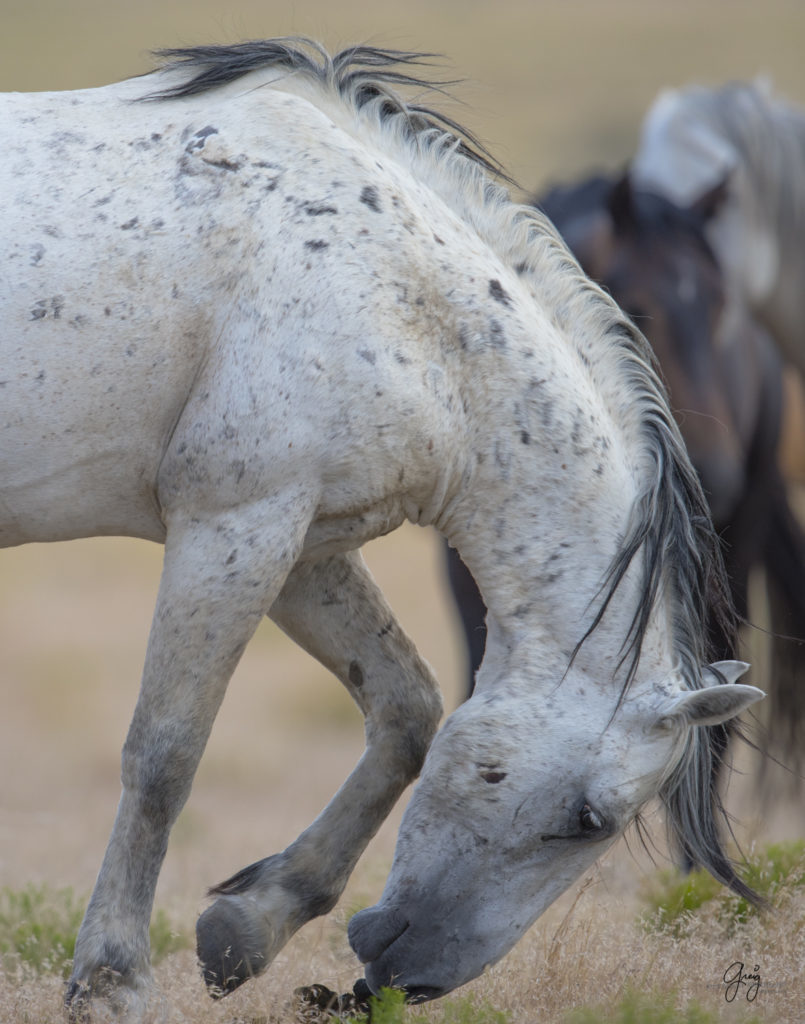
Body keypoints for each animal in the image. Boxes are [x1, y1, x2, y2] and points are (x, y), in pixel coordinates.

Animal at [0, 39, 761, 1015]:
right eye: (586, 819)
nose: (413, 980)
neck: (403, 301)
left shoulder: (305, 547)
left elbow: (408, 712)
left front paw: (250, 927)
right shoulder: (233, 526)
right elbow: (165, 755)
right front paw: (113, 981)